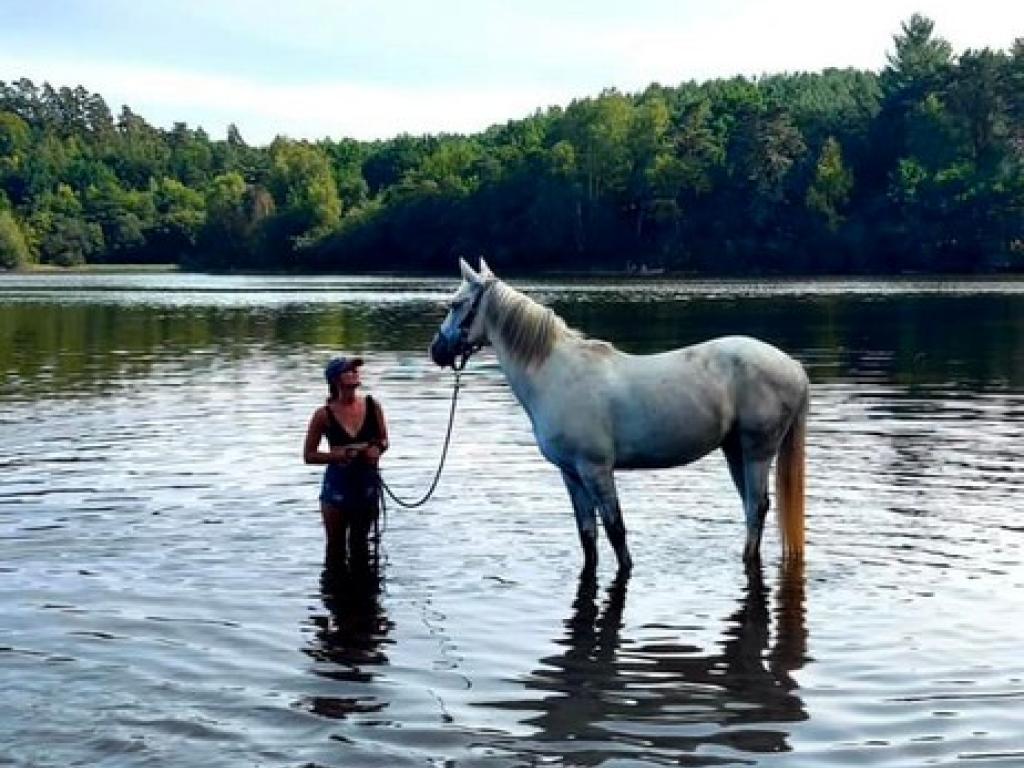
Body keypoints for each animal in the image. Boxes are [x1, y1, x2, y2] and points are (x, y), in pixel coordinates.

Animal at [430, 259, 806, 573]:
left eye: (456, 304)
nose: (437, 351)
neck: (555, 373)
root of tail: (794, 367)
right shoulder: (571, 474)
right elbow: (588, 536)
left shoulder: (595, 469)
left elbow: (615, 529)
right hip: (734, 451)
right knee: (751, 507)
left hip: (757, 452)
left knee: (757, 507)